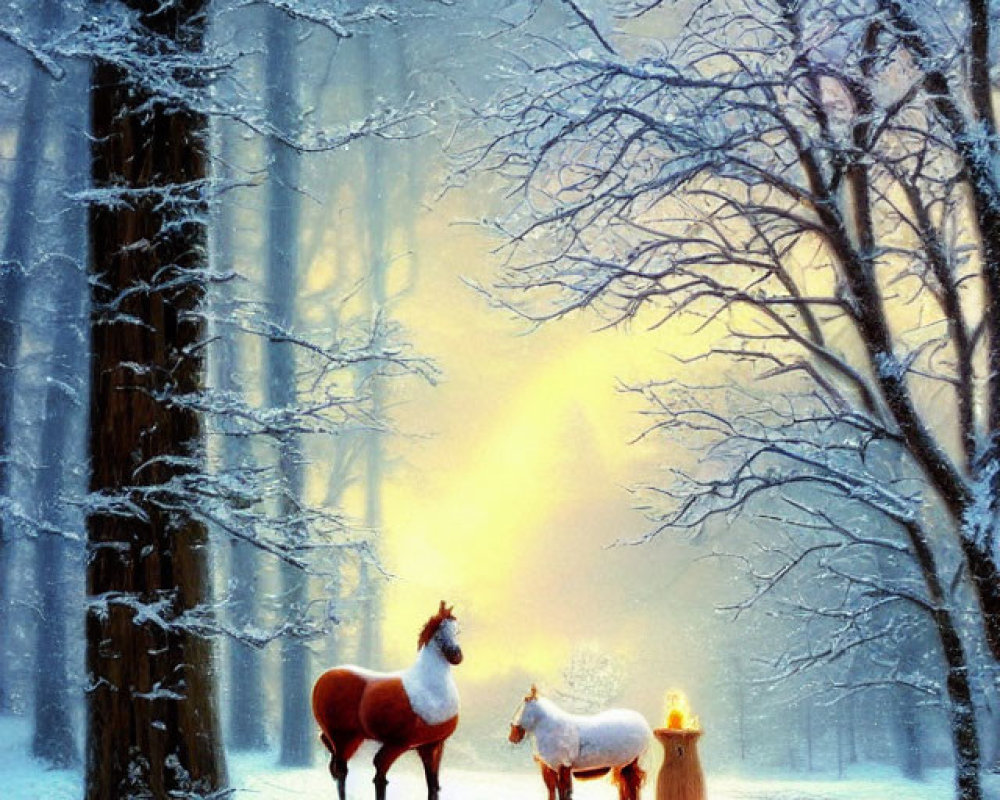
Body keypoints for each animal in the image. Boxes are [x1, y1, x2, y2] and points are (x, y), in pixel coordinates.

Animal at [310, 604, 462, 800]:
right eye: (438, 636)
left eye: (457, 631)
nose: (456, 656)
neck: (430, 690)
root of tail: (324, 677)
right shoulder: (395, 745)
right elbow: (380, 779)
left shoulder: (432, 746)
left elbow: (433, 786)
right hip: (342, 737)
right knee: (341, 771)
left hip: (354, 739)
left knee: (336, 765)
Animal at [512, 684, 652, 800]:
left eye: (524, 705)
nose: (513, 736)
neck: (550, 728)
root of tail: (644, 724)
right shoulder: (548, 768)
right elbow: (552, 791)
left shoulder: (563, 767)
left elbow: (564, 792)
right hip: (624, 767)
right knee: (626, 787)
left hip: (629, 764)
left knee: (631, 787)